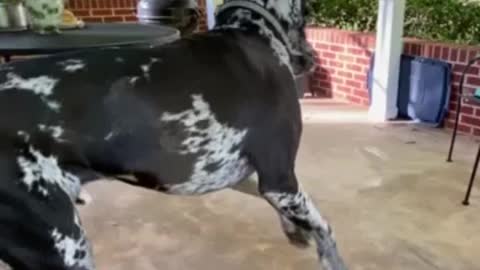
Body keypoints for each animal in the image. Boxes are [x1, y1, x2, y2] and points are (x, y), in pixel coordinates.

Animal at [0, 0, 346, 268]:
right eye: (308, 11)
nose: (310, 58)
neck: (253, 30)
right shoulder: (280, 179)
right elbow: (326, 228)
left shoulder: (244, 176)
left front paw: (294, 229)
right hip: (66, 249)